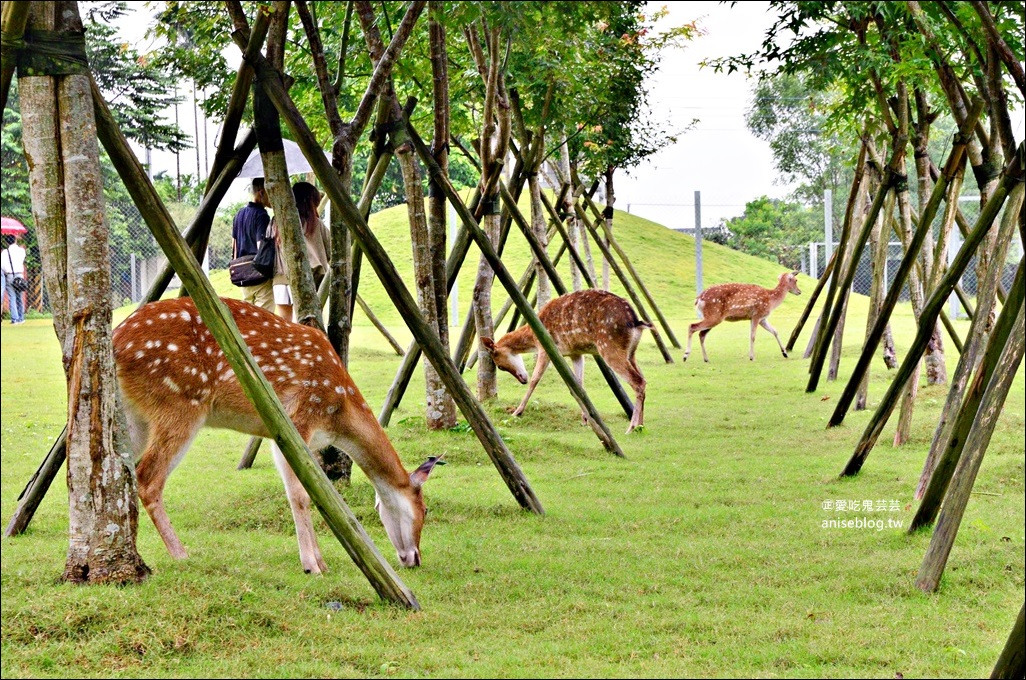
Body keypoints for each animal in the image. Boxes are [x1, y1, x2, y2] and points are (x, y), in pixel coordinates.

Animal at [112, 301, 441, 570]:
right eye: (424, 509)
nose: (415, 558)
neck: (337, 413)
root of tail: (115, 340)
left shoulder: (285, 436)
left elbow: (306, 491)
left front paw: (319, 559)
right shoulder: (300, 417)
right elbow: (301, 494)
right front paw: (312, 565)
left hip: (134, 416)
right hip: (181, 400)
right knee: (148, 476)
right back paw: (181, 554)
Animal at [478, 289, 648, 432]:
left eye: (499, 366)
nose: (522, 379)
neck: (533, 335)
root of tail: (637, 322)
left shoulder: (545, 348)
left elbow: (535, 380)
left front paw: (516, 412)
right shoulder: (576, 353)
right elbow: (579, 386)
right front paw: (585, 420)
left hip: (609, 347)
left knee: (638, 381)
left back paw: (631, 427)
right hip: (631, 352)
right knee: (643, 379)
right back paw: (641, 425)